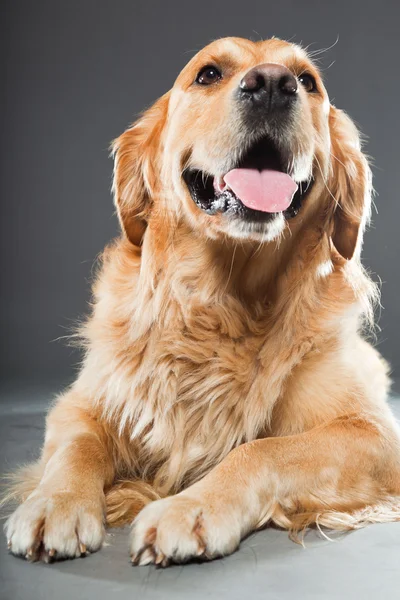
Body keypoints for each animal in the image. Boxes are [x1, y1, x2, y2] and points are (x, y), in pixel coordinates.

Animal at [3, 37, 400, 568]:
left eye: (308, 81)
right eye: (208, 73)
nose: (273, 84)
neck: (227, 304)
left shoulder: (372, 432)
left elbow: (261, 450)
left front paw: (191, 507)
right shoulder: (82, 402)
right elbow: (78, 446)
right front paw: (55, 503)